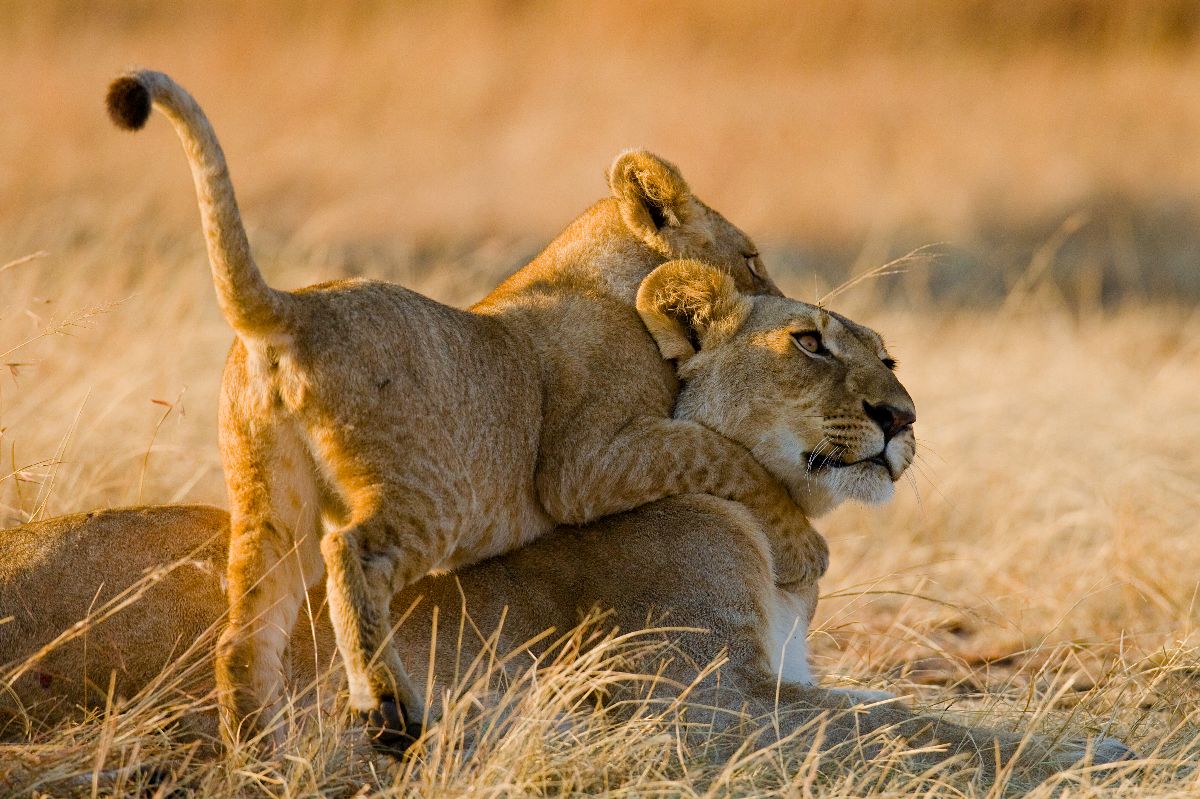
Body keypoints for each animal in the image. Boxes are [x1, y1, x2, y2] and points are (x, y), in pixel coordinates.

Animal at [0, 262, 1133, 790]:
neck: (766, 530)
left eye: (889, 356)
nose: (903, 417)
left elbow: (890, 700)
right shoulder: (698, 706)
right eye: (809, 342)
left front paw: (1090, 738)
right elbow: (910, 727)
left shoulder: (773, 677)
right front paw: (1087, 759)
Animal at [105, 69, 830, 753]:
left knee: (244, 635)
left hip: (270, 501)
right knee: (351, 554)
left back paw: (258, 752)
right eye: (752, 256)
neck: (603, 278)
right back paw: (390, 710)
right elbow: (721, 452)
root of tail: (292, 309)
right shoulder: (584, 467)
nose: (782, 301)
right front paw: (803, 543)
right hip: (436, 493)